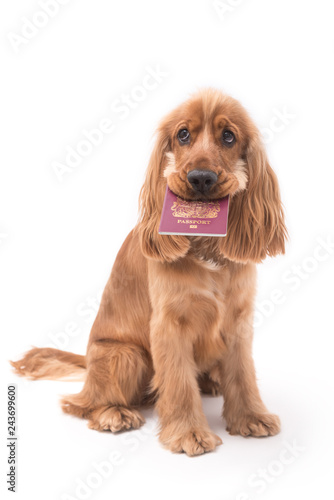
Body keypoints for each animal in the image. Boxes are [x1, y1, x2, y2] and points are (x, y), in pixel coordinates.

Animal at [11, 88, 288, 456]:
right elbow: (178, 382)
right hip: (125, 355)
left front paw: (251, 416)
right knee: (82, 404)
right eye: (183, 134)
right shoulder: (169, 325)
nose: (201, 178)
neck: (205, 247)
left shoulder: (238, 320)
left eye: (229, 136)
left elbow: (243, 373)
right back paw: (114, 414)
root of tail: (87, 365)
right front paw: (188, 433)